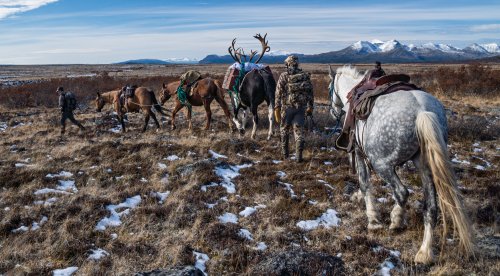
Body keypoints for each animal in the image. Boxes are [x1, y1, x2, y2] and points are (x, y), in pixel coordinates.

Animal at [328, 65, 472, 266]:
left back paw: (396, 221)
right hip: (424, 165)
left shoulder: (358, 151)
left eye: (329, 88)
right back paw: (424, 253)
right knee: (431, 207)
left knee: (402, 192)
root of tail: (422, 112)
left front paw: (373, 221)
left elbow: (365, 184)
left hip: (382, 164)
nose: (333, 112)